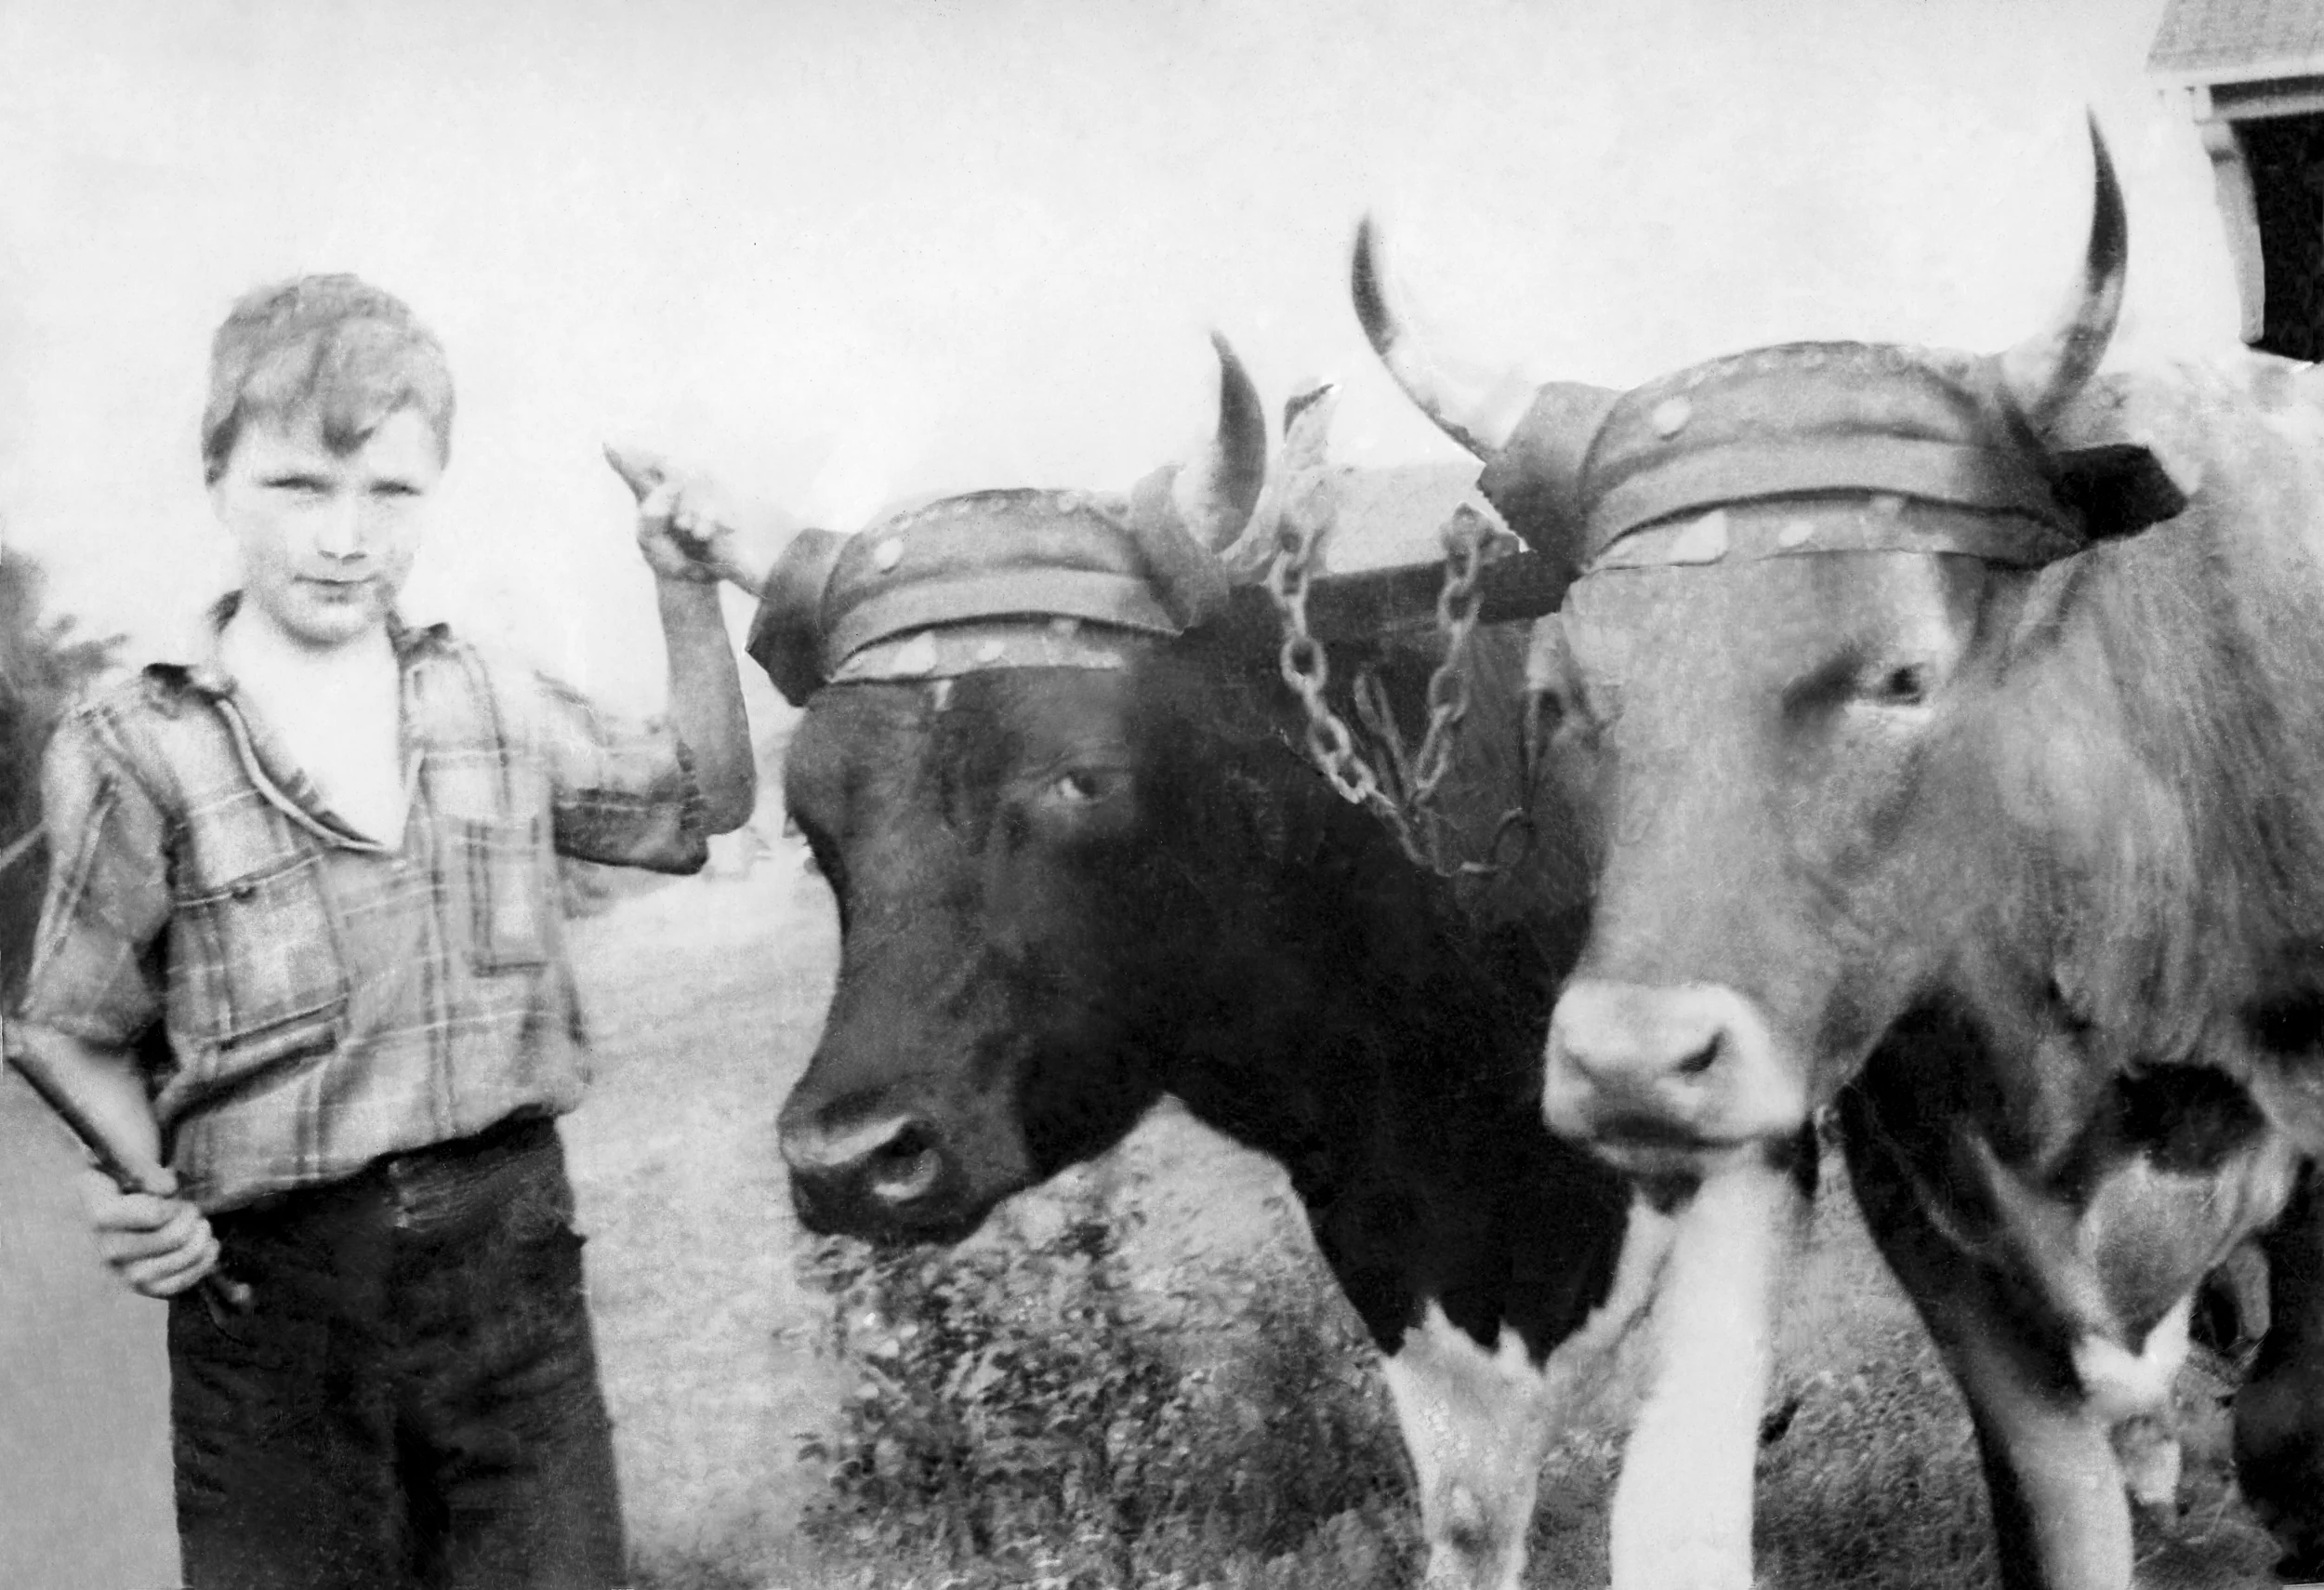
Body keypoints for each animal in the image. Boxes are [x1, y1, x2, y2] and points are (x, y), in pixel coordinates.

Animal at [1356, 123, 2324, 1590]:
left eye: (1905, 675)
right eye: (1564, 695)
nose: (1629, 1064)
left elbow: (2287, 1433)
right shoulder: (1938, 1218)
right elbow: (2058, 1515)